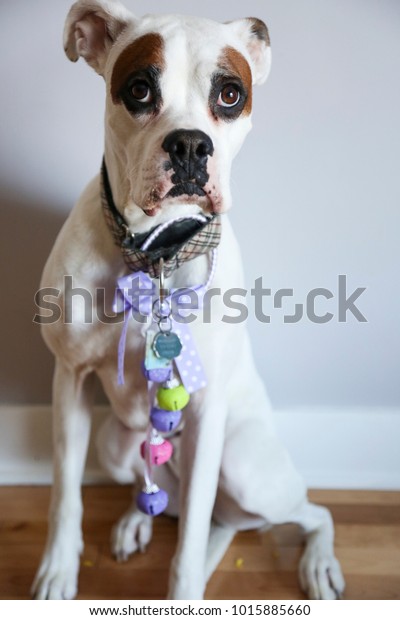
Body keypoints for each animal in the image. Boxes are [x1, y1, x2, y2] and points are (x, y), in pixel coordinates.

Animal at [31, 0, 346, 600]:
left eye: (230, 94)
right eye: (138, 89)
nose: (190, 144)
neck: (156, 254)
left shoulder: (204, 412)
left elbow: (190, 545)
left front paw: (182, 593)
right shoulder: (69, 380)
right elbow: (64, 495)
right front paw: (58, 569)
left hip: (243, 464)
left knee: (301, 513)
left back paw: (318, 562)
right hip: (114, 442)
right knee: (174, 501)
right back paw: (136, 520)